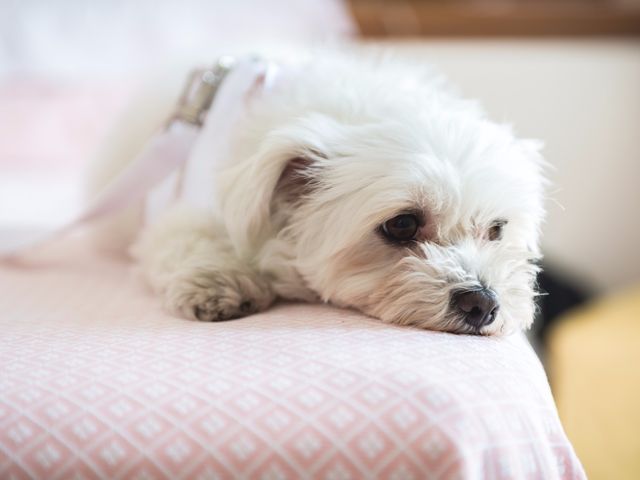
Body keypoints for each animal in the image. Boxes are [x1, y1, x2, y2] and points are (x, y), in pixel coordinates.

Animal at [90, 52, 544, 336]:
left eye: (497, 229)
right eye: (401, 224)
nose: (482, 303)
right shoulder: (180, 212)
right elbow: (188, 237)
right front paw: (217, 281)